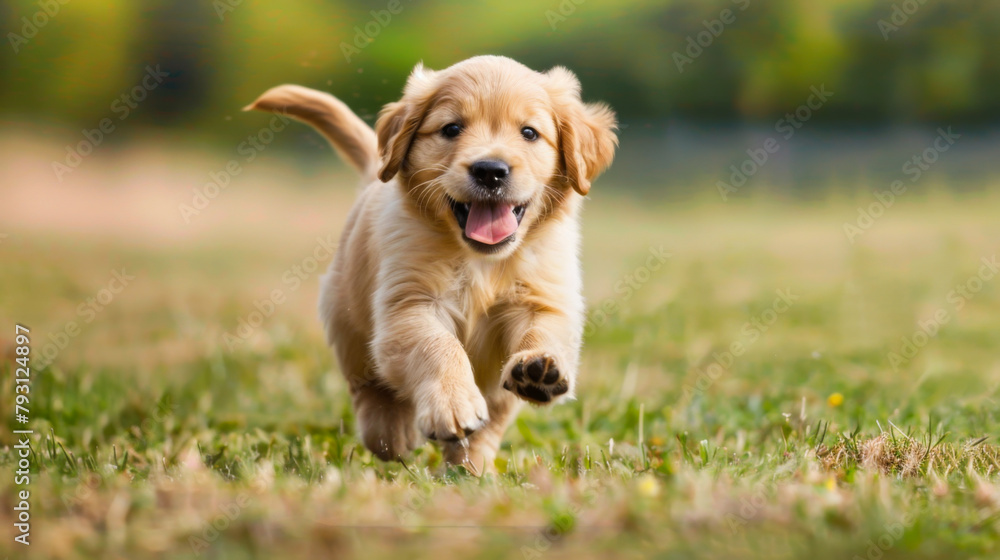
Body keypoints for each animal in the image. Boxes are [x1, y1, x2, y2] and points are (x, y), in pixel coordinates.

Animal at [246, 54, 612, 472]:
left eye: (530, 133)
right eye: (451, 128)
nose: (490, 170)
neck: (481, 260)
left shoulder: (543, 296)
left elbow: (545, 331)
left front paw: (540, 366)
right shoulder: (409, 304)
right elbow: (438, 347)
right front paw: (451, 405)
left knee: (492, 421)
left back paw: (470, 466)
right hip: (347, 322)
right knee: (369, 390)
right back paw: (393, 432)